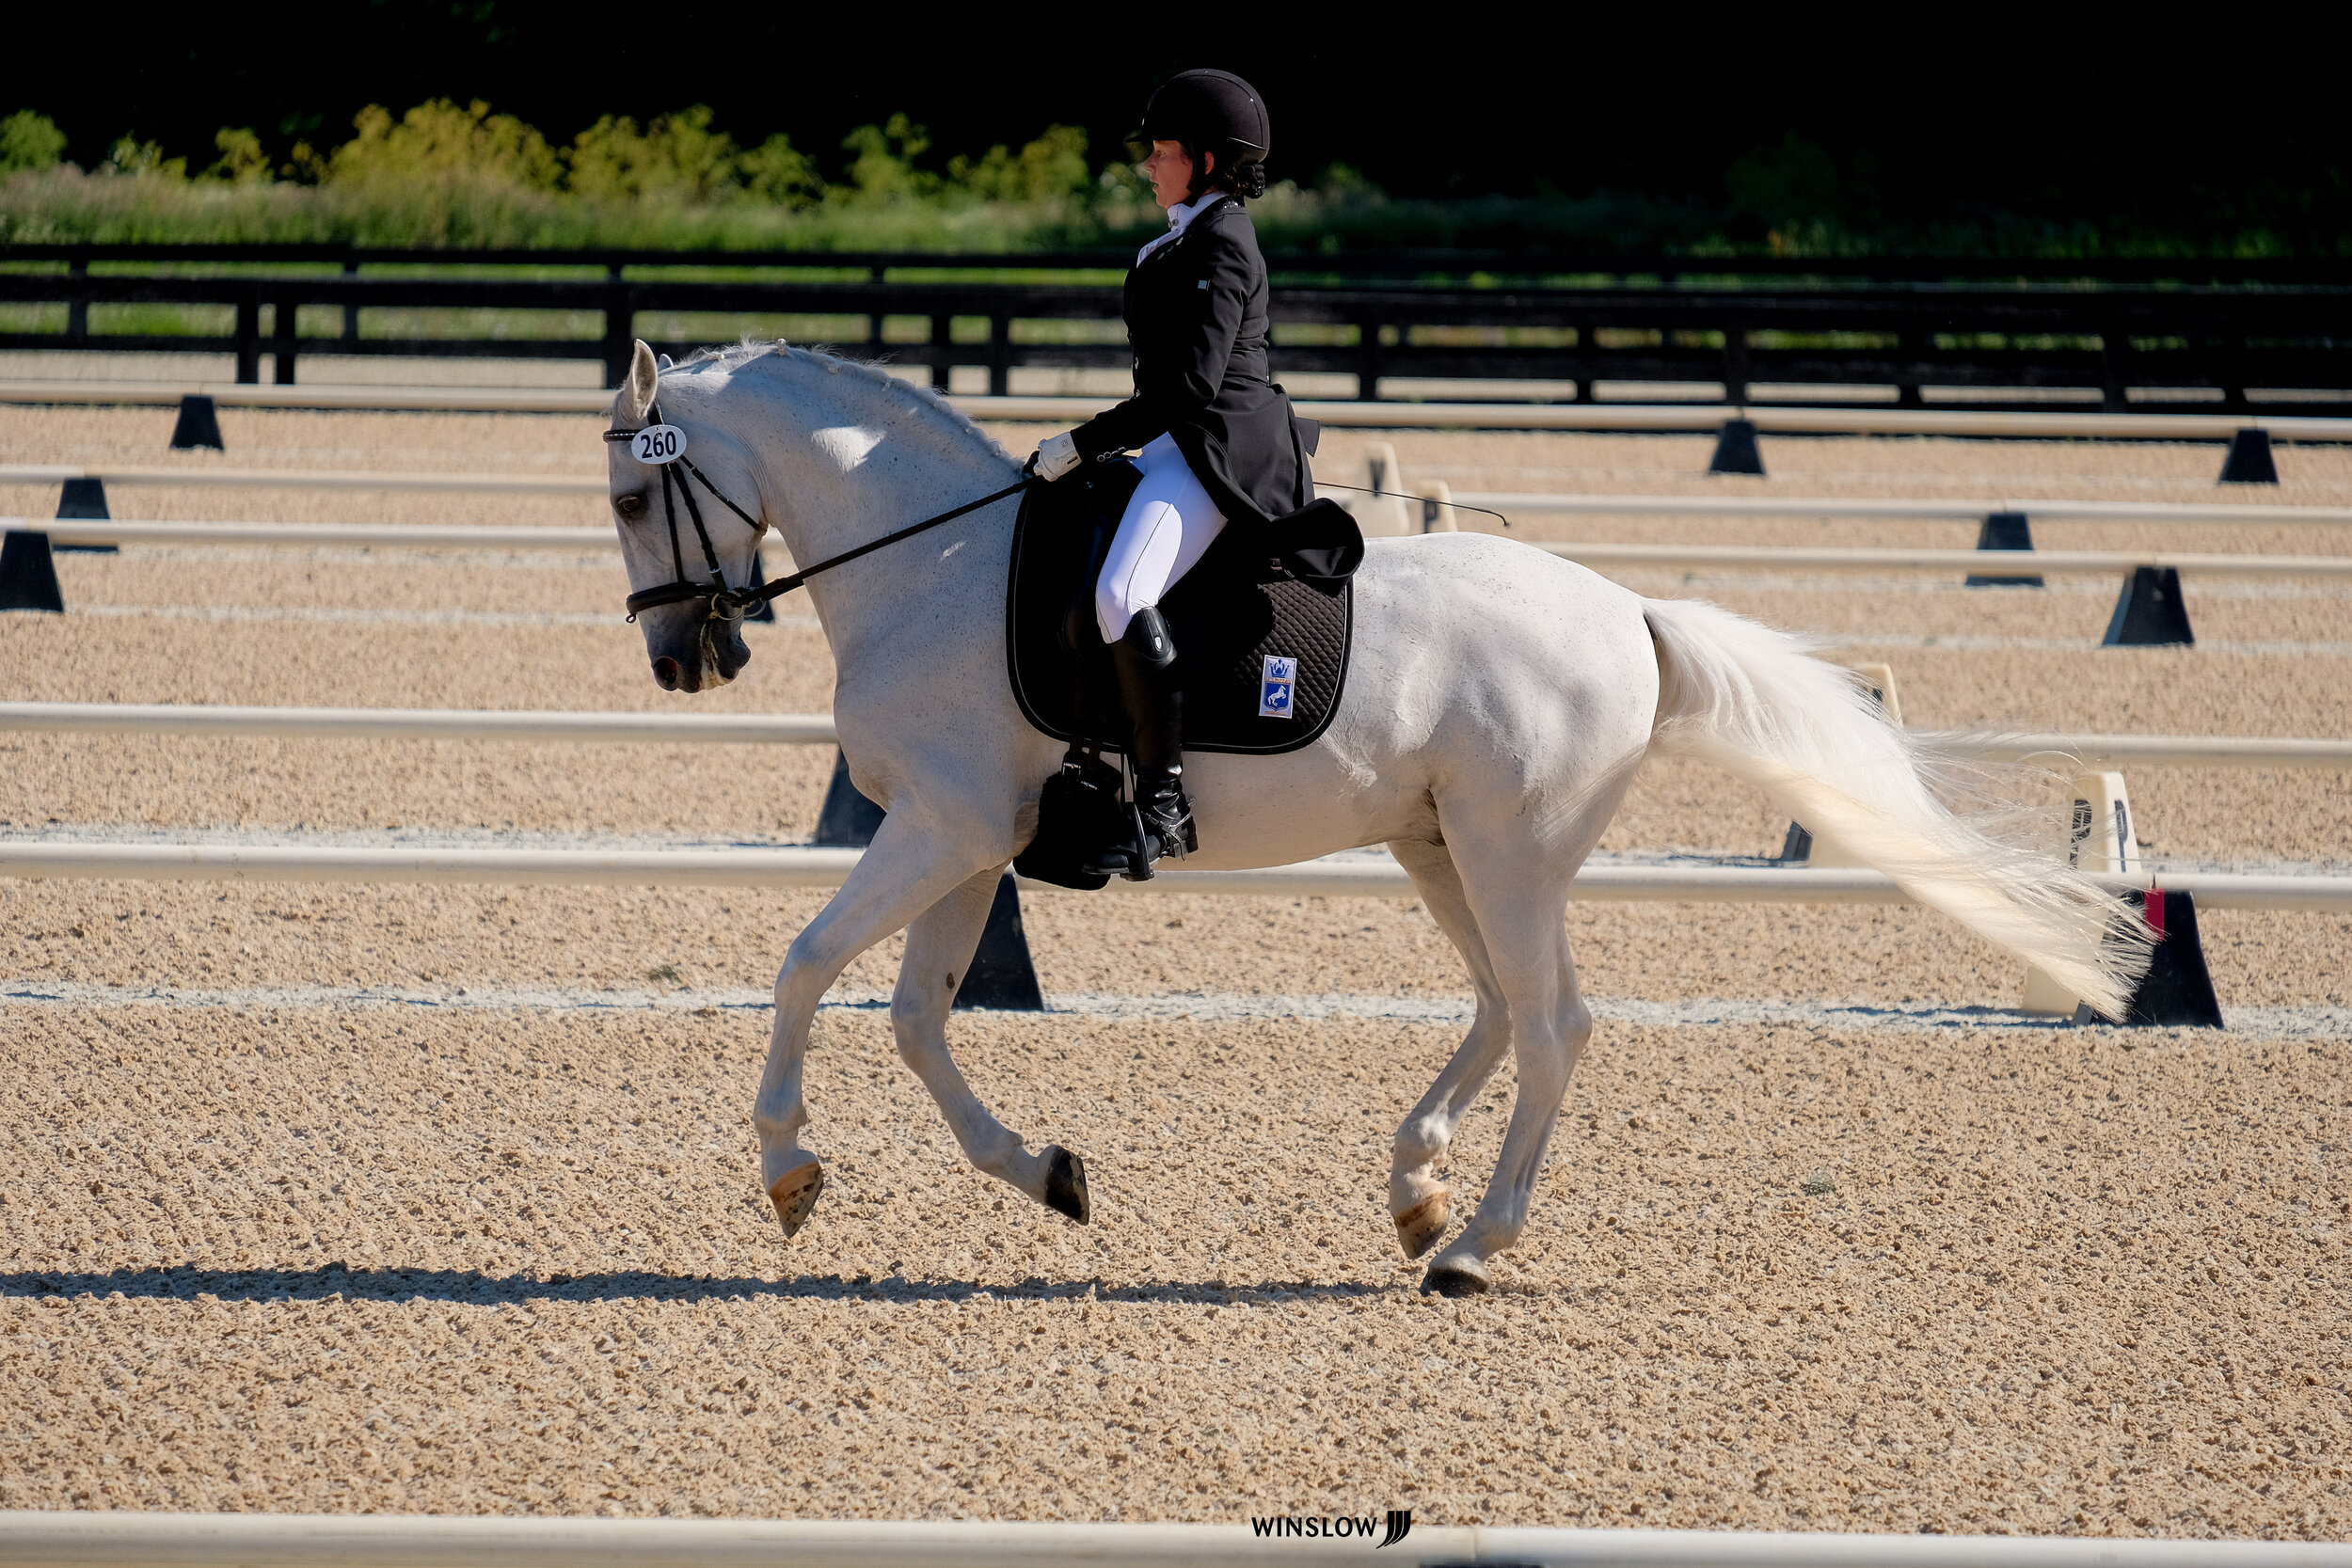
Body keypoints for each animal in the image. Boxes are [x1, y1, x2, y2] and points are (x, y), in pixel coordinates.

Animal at [607, 341, 2154, 1297]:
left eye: (631, 493)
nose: (682, 659)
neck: (934, 562)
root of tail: (1631, 613)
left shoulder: (938, 828)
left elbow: (808, 963)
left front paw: (788, 1167)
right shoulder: (970, 836)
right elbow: (919, 1019)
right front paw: (1048, 1174)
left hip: (1510, 849)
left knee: (1552, 1021)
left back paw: (1472, 1244)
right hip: (1439, 842)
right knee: (1499, 1005)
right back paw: (1417, 1184)